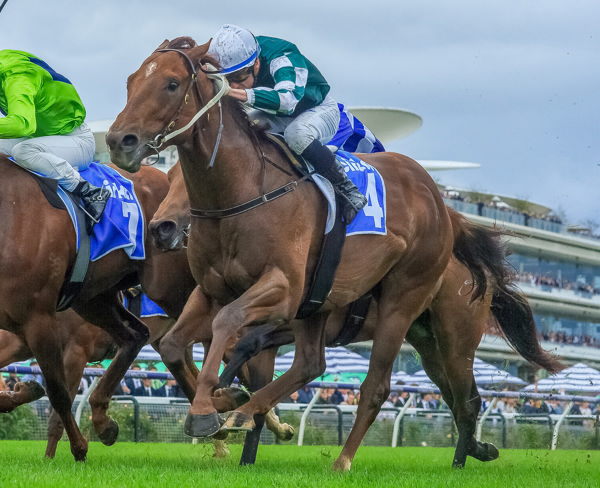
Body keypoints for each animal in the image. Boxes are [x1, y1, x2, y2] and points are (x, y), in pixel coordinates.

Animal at [106, 36, 460, 470]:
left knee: (377, 386)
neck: (242, 192)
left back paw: (341, 461)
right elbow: (175, 346)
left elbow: (227, 322)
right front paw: (224, 402)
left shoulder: (283, 287)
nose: (118, 142)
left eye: (172, 84)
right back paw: (245, 411)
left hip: (402, 301)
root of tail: (433, 193)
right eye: (131, 81)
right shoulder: (210, 289)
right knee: (311, 363)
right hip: (320, 302)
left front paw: (209, 410)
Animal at [149, 163, 564, 468]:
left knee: (468, 399)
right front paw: (230, 407)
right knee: (455, 398)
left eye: (188, 185)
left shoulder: (297, 317)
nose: (161, 228)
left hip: (454, 340)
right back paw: (478, 449)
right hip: (427, 346)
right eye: (169, 181)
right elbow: (240, 353)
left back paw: (460, 461)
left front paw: (231, 412)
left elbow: (249, 352)